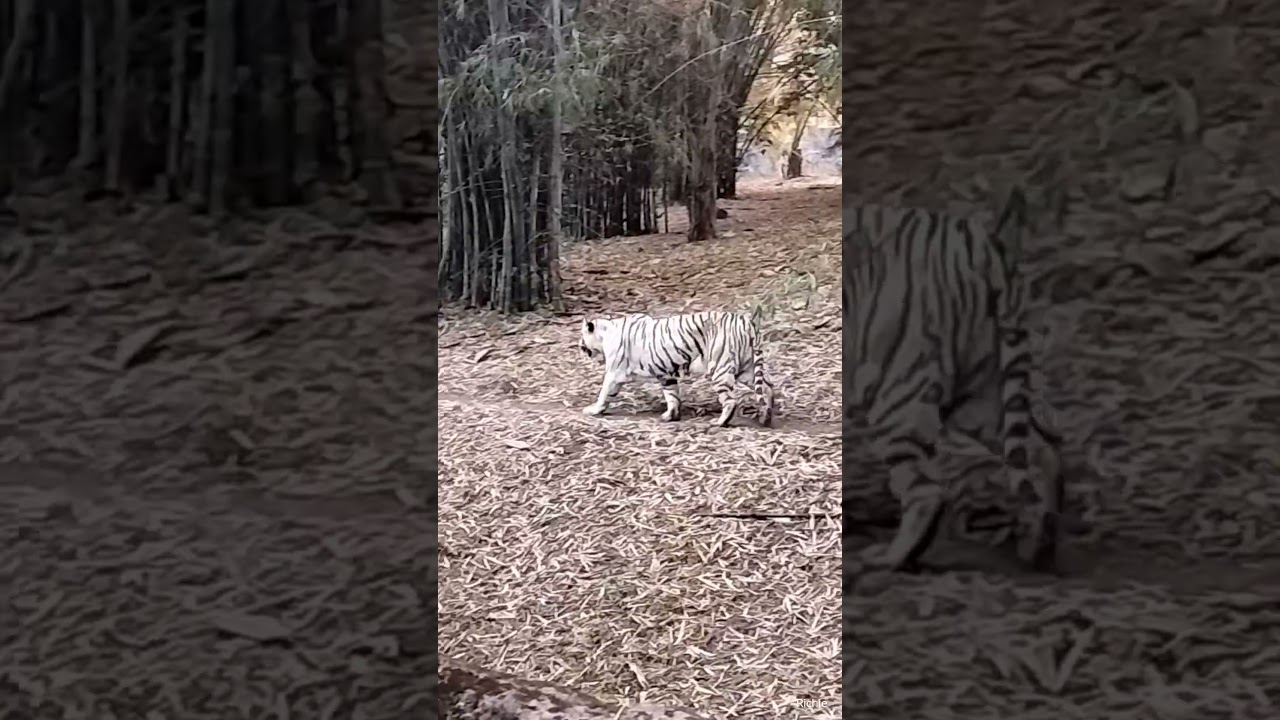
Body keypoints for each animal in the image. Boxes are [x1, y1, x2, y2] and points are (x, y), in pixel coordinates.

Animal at [578, 310, 775, 428]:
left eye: (582, 335)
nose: (579, 345)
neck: (606, 332)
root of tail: (746, 322)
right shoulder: (666, 374)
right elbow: (672, 396)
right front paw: (670, 416)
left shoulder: (614, 373)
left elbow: (604, 393)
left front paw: (593, 410)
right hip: (747, 367)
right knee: (767, 387)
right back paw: (765, 416)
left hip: (720, 368)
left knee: (730, 401)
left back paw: (719, 422)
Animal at [843, 187, 1065, 574]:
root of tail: (982, 242)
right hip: (985, 390)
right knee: (1040, 454)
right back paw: (1036, 547)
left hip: (895, 388)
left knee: (927, 490)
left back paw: (887, 558)